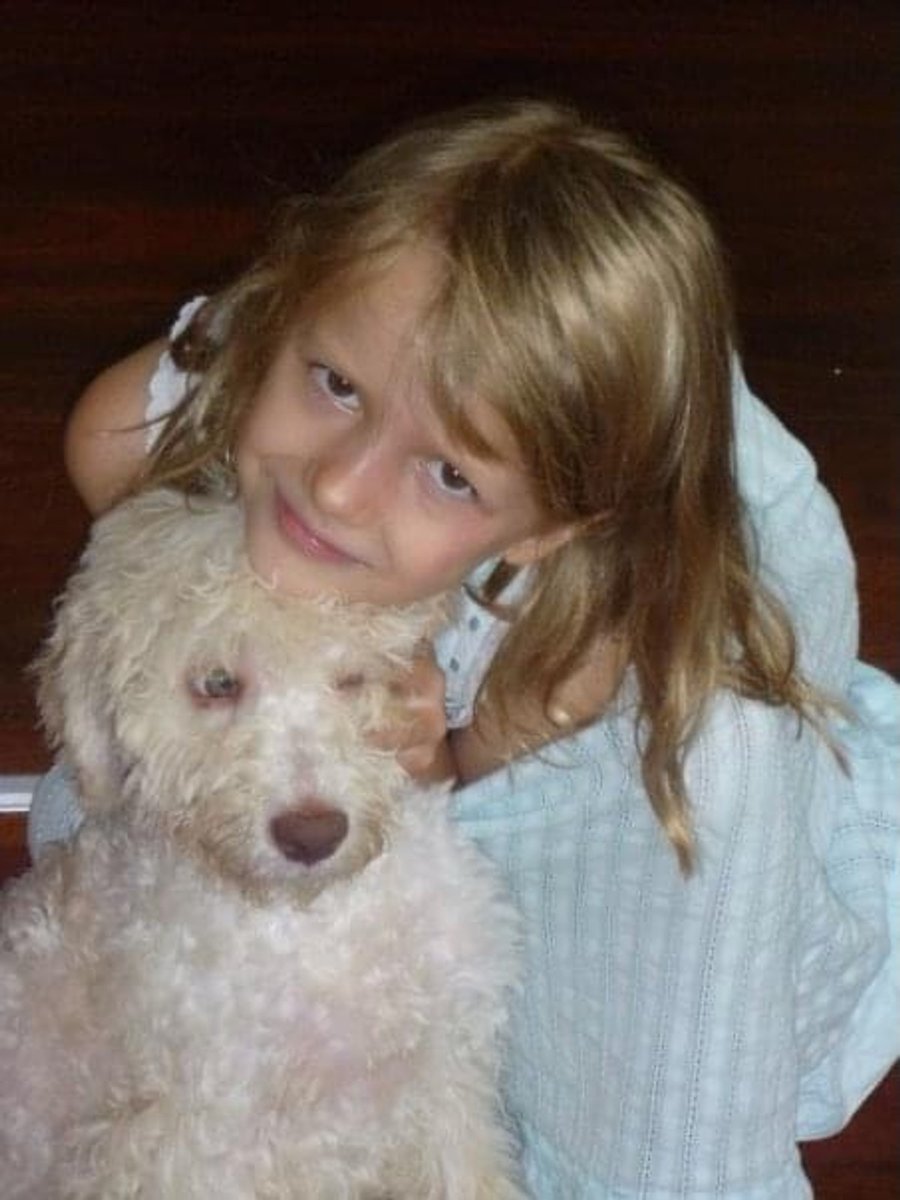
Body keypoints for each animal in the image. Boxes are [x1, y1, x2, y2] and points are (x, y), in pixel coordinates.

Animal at [0, 489, 525, 1200]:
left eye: (352, 678)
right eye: (217, 683)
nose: (313, 834)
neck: (320, 925)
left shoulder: (447, 1086)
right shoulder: (197, 1143)